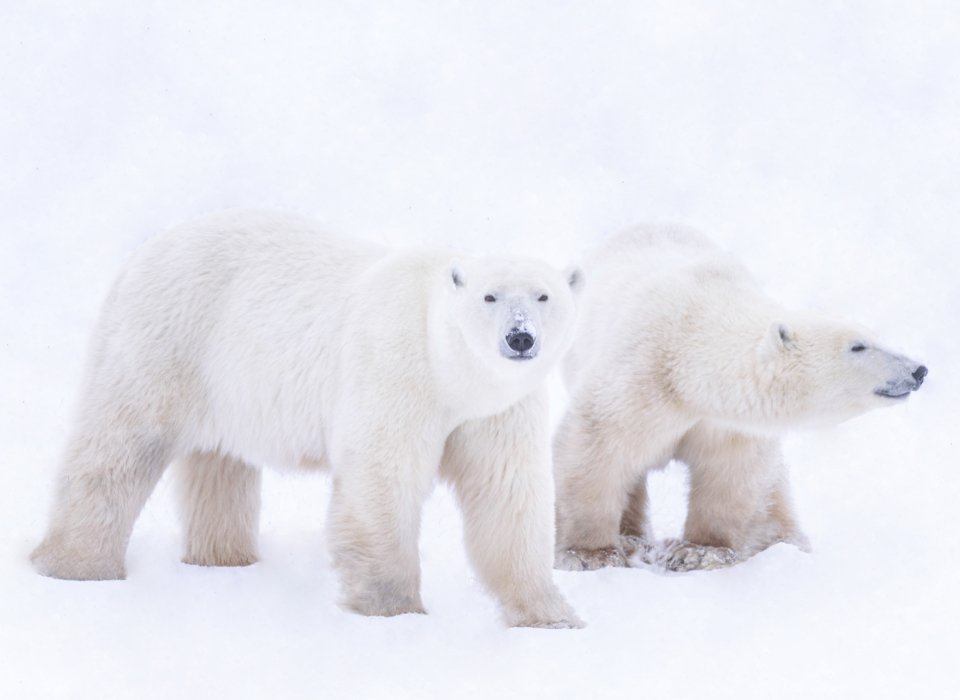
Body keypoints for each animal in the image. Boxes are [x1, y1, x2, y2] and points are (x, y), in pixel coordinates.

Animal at [31, 210, 585, 629]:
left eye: (544, 295)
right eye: (490, 296)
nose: (519, 337)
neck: (452, 372)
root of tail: (142, 253)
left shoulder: (498, 410)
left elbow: (507, 494)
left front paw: (552, 615)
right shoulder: (398, 372)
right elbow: (383, 480)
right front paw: (393, 608)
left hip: (225, 381)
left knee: (219, 462)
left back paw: (224, 555)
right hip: (165, 337)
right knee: (120, 444)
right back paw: (75, 564)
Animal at [553, 224, 927, 572]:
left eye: (876, 336)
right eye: (858, 346)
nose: (918, 370)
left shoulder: (728, 422)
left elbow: (730, 474)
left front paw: (699, 552)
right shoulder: (642, 376)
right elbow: (597, 446)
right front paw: (591, 555)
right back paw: (634, 541)